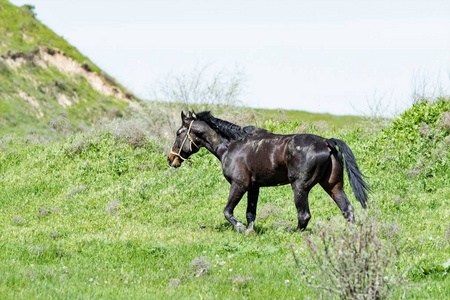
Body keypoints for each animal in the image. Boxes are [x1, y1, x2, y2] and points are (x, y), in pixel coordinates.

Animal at [167, 111, 368, 233]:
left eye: (178, 132)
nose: (170, 159)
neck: (232, 145)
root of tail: (326, 142)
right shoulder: (254, 187)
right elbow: (250, 213)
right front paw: (250, 231)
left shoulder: (239, 185)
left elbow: (227, 211)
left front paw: (240, 228)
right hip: (333, 186)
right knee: (347, 209)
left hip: (300, 187)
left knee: (304, 215)